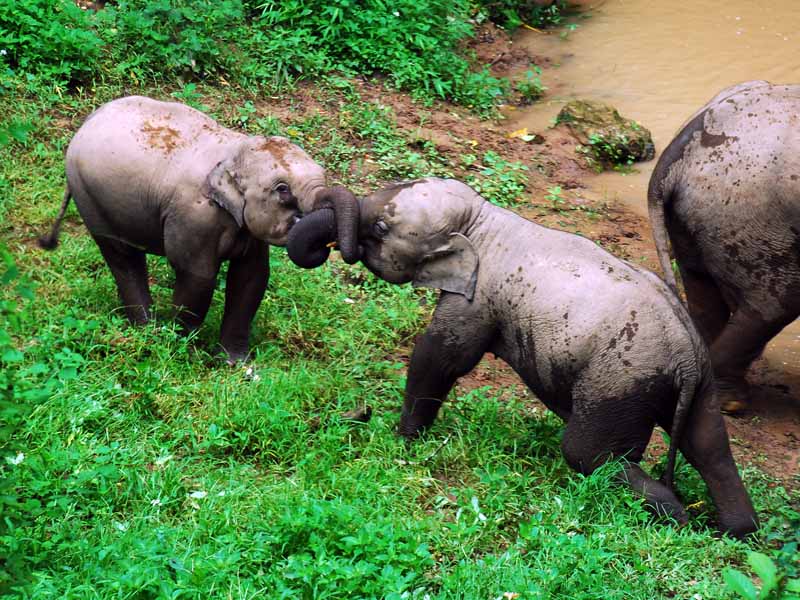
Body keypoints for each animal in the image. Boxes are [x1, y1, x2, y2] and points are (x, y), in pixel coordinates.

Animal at [39, 96, 360, 364]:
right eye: (282, 189)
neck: (234, 149)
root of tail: (86, 122)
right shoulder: (194, 216)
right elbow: (197, 276)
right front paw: (183, 350)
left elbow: (251, 277)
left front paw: (233, 363)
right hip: (90, 198)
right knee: (122, 257)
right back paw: (146, 330)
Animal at [288, 177, 756, 540]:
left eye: (383, 227)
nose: (333, 246)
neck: (483, 217)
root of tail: (687, 357)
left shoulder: (477, 297)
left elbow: (441, 357)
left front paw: (402, 439)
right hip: (698, 385)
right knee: (711, 449)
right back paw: (734, 533)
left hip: (620, 382)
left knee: (588, 455)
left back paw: (676, 523)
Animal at [648, 79, 800, 412]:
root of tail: (678, 154)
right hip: (752, 215)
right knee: (773, 305)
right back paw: (733, 404)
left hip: (703, 215)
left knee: (702, 289)